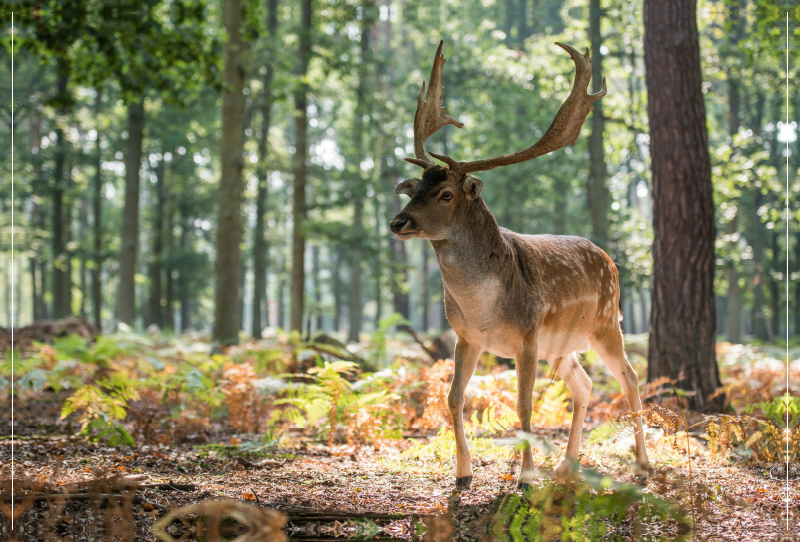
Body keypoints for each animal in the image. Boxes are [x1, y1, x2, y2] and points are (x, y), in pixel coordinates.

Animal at [390, 41, 652, 492]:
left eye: (445, 194)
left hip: (605, 323)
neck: (483, 307)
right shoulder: (466, 337)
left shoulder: (526, 336)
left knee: (630, 377)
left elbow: (524, 404)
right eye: (416, 188)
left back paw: (641, 465)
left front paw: (526, 477)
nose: (397, 222)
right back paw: (565, 467)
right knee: (584, 386)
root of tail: (610, 261)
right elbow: (454, 397)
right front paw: (463, 474)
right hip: (562, 345)